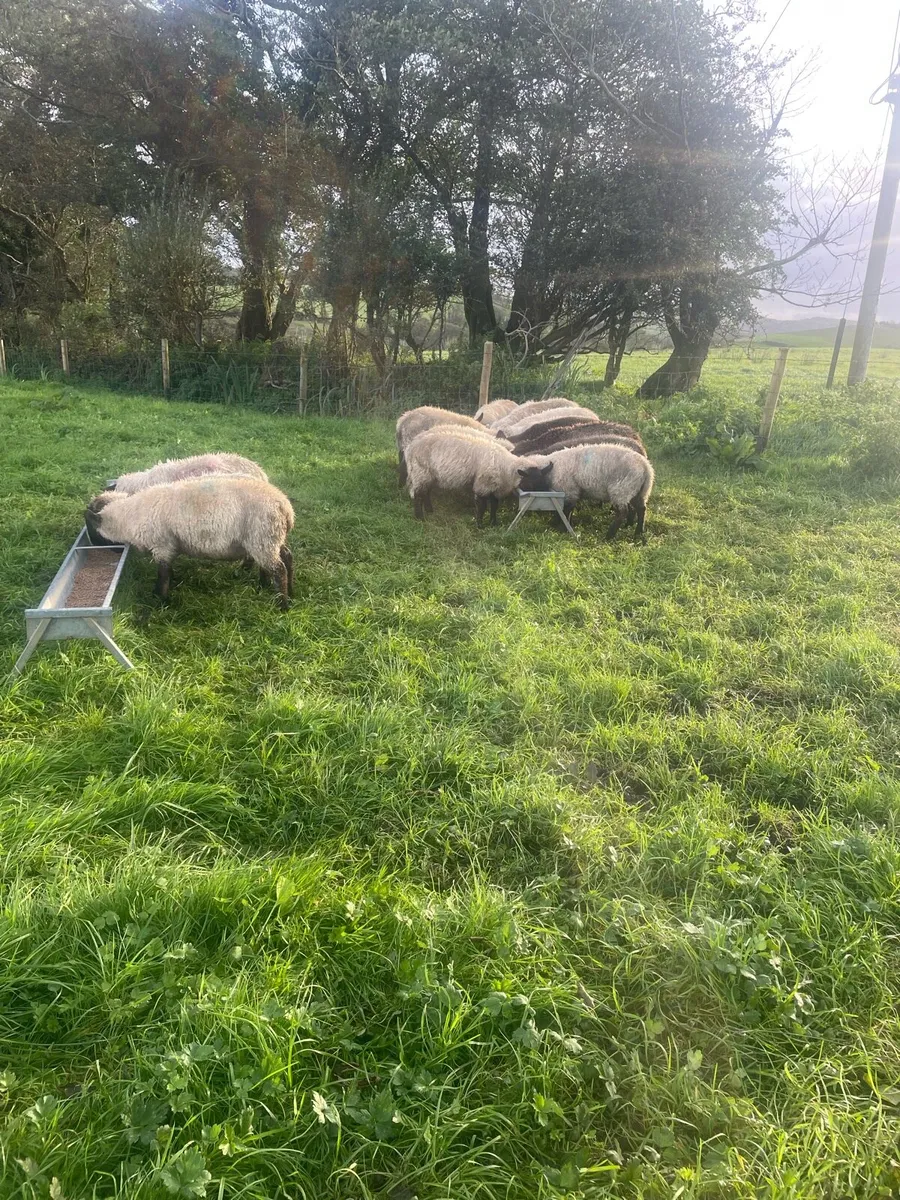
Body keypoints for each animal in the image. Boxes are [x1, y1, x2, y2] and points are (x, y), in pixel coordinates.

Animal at [85, 476, 295, 609]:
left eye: (89, 527)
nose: (94, 548)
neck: (130, 517)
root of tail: (285, 507)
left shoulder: (162, 546)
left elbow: (162, 575)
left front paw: (159, 600)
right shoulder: (170, 547)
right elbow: (168, 571)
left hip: (263, 538)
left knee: (279, 570)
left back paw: (282, 604)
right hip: (270, 539)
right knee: (286, 557)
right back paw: (279, 590)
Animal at [405, 426, 542, 527]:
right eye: (531, 481)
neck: (506, 466)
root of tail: (411, 447)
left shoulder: (495, 486)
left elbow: (494, 506)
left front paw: (493, 523)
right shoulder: (483, 485)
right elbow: (482, 506)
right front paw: (480, 525)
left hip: (428, 474)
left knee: (426, 492)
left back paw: (429, 510)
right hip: (421, 471)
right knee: (418, 495)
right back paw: (420, 518)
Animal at [516, 444, 654, 540]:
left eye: (526, 482)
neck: (552, 471)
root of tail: (646, 467)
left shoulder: (569, 490)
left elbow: (566, 511)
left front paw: (562, 527)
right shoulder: (574, 492)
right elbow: (569, 510)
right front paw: (566, 525)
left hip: (621, 489)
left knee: (622, 512)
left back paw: (609, 535)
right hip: (638, 491)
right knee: (641, 509)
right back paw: (637, 532)